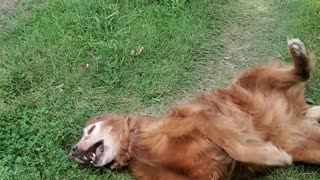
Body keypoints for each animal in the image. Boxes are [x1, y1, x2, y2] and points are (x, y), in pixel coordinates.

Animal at [69, 38, 320, 179]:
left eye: (89, 130)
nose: (72, 151)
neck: (138, 145)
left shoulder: (204, 119)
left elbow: (235, 145)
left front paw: (271, 155)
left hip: (252, 78)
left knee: (301, 73)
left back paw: (298, 53)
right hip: (303, 144)